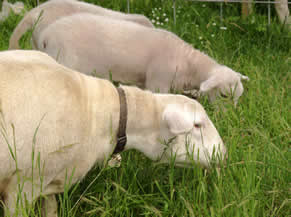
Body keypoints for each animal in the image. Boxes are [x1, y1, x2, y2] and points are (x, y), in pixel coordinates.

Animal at [37, 13, 251, 105]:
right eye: (224, 95)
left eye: (239, 96)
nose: (228, 118)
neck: (188, 63)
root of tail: (46, 36)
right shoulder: (158, 82)